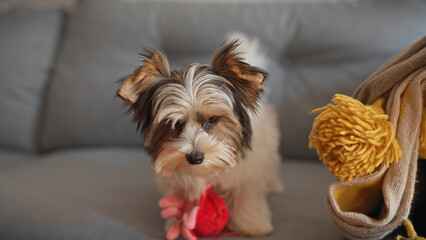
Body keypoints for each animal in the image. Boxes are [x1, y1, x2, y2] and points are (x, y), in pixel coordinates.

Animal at [117, 39, 282, 236]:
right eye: (175, 124)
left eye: (213, 119)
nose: (195, 157)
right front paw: (178, 220)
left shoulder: (248, 172)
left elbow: (246, 195)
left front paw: (251, 224)